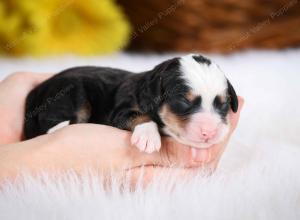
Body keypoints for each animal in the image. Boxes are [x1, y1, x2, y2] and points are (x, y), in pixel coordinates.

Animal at [24, 54, 238, 153]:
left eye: (223, 104)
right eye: (184, 101)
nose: (210, 133)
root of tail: (38, 89)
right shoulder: (120, 112)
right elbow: (140, 116)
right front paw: (148, 137)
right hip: (70, 93)